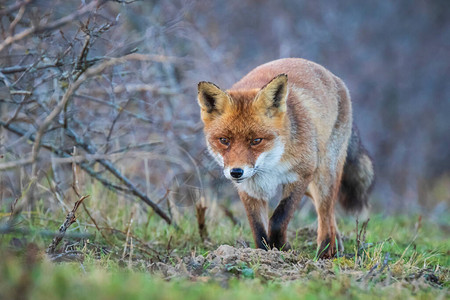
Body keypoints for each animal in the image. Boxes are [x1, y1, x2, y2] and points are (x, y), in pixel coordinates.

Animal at [196, 58, 372, 258]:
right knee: (328, 212)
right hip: (311, 185)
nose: (236, 172)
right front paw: (263, 253)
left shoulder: (301, 175)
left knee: (325, 211)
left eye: (256, 141)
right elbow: (258, 228)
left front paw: (281, 249)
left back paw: (325, 252)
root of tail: (332, 75)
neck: (271, 165)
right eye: (224, 140)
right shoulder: (249, 189)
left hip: (323, 174)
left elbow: (279, 218)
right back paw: (336, 245)